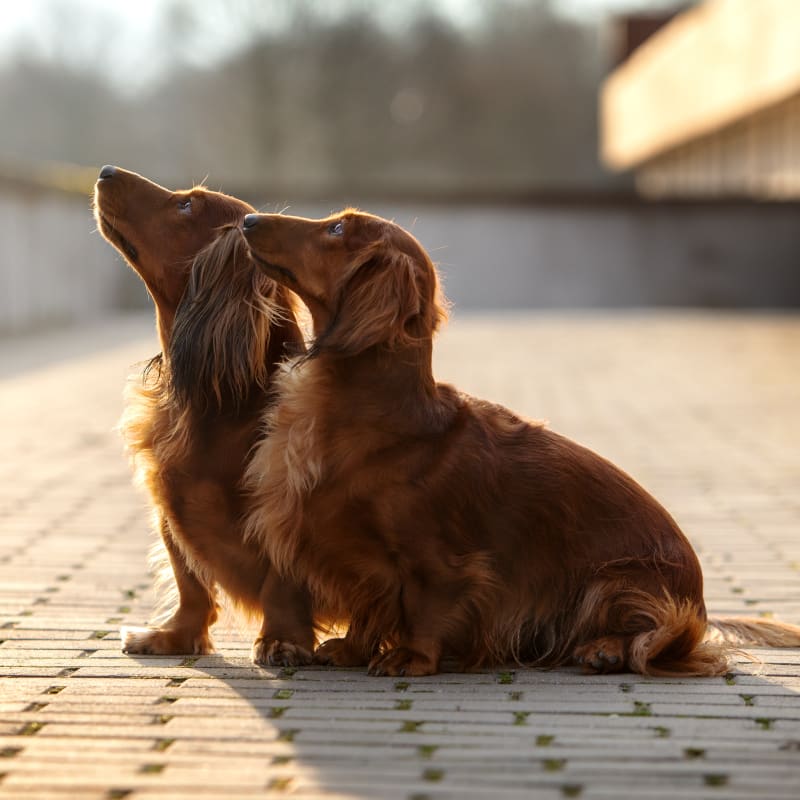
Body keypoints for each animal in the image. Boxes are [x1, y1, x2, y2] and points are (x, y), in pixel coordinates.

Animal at [94, 167, 316, 664]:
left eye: (186, 206)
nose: (104, 171)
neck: (220, 405)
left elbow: (282, 582)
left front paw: (282, 639)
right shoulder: (167, 504)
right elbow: (189, 581)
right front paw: (172, 635)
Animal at [241, 209, 800, 680]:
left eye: (337, 229)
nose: (247, 219)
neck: (372, 414)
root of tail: (700, 602)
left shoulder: (437, 561)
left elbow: (423, 603)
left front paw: (410, 657)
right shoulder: (347, 551)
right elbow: (371, 602)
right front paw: (353, 649)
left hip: (615, 582)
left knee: (662, 638)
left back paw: (606, 649)